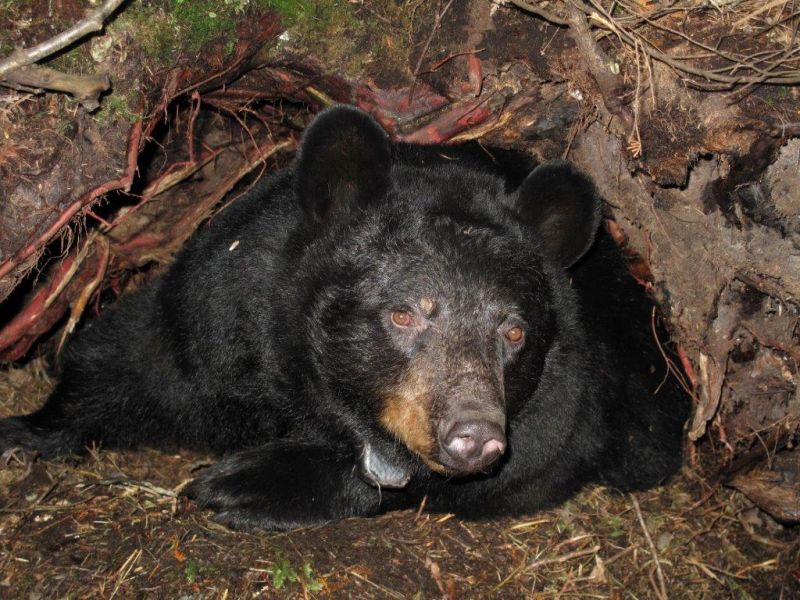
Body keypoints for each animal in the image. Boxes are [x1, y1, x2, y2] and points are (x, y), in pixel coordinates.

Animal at [0, 105, 689, 530]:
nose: (474, 433)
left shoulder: (569, 406)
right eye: (404, 315)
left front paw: (245, 483)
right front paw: (26, 431)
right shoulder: (218, 311)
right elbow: (133, 355)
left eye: (513, 331)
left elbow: (483, 475)